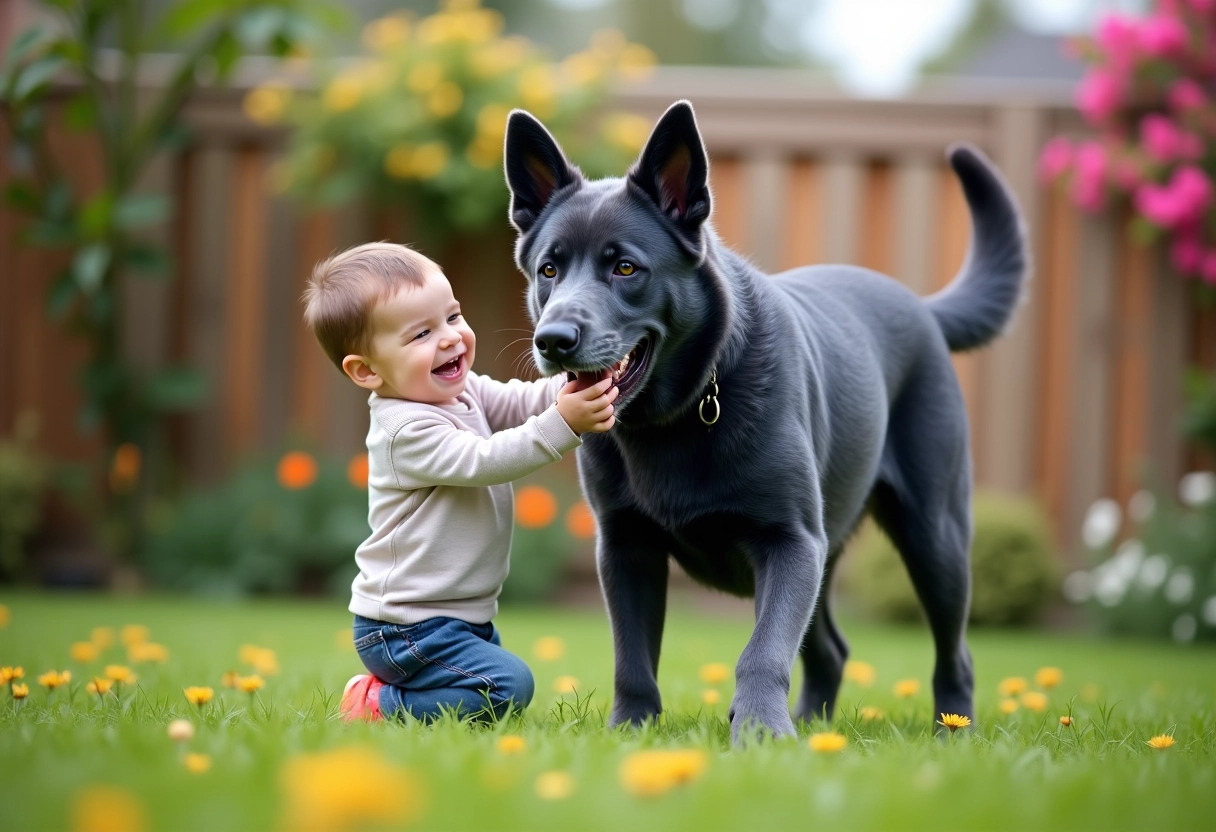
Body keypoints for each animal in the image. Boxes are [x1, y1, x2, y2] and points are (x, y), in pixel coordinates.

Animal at [500, 99, 1026, 739]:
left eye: (625, 267)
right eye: (549, 270)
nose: (553, 340)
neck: (680, 415)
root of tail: (923, 309)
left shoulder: (791, 542)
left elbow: (763, 650)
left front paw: (759, 733)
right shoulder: (626, 546)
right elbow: (632, 656)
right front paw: (631, 729)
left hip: (935, 538)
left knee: (955, 652)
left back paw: (953, 731)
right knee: (831, 651)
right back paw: (816, 726)